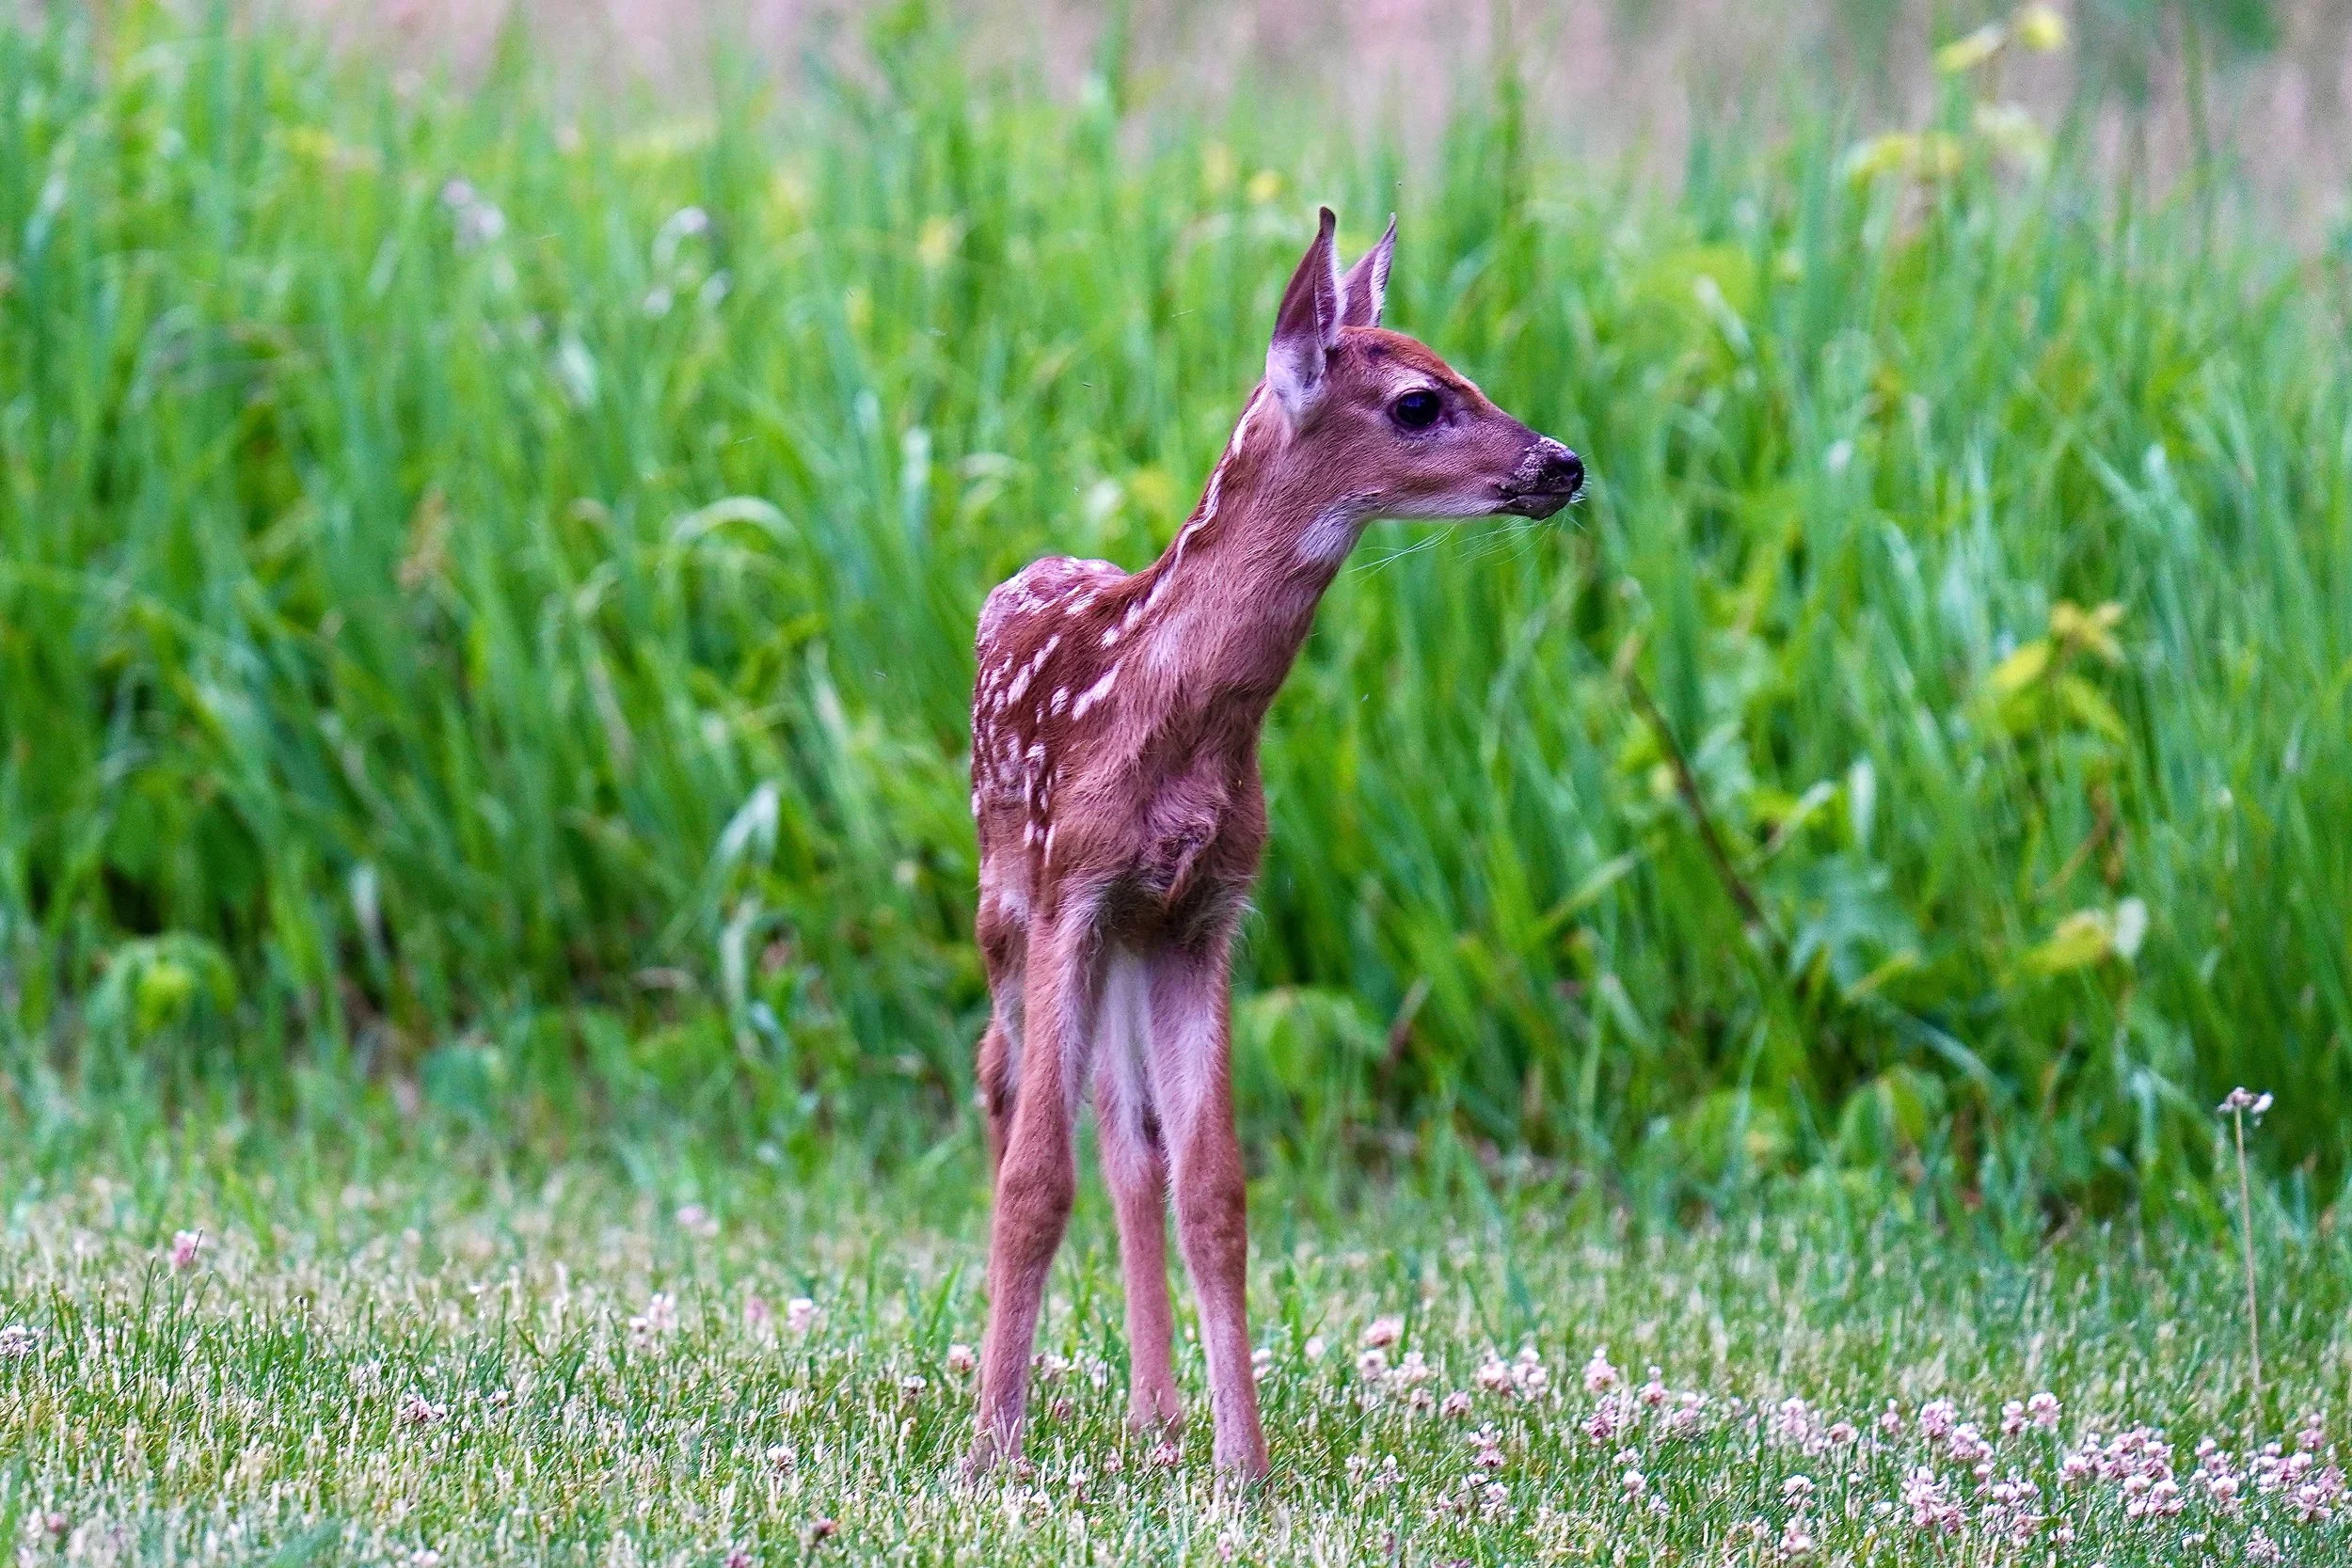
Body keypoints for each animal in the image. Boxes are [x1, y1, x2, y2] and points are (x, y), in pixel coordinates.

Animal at [964, 208, 1584, 1480]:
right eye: (1418, 400)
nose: (1562, 463)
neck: (1167, 713)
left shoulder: (1205, 910)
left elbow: (1214, 1189)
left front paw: (1240, 1466)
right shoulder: (1073, 887)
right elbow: (1035, 1179)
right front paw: (988, 1454)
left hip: (1132, 939)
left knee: (1130, 1138)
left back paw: (1154, 1412)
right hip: (1009, 903)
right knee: (1002, 1085)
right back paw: (1021, 1404)